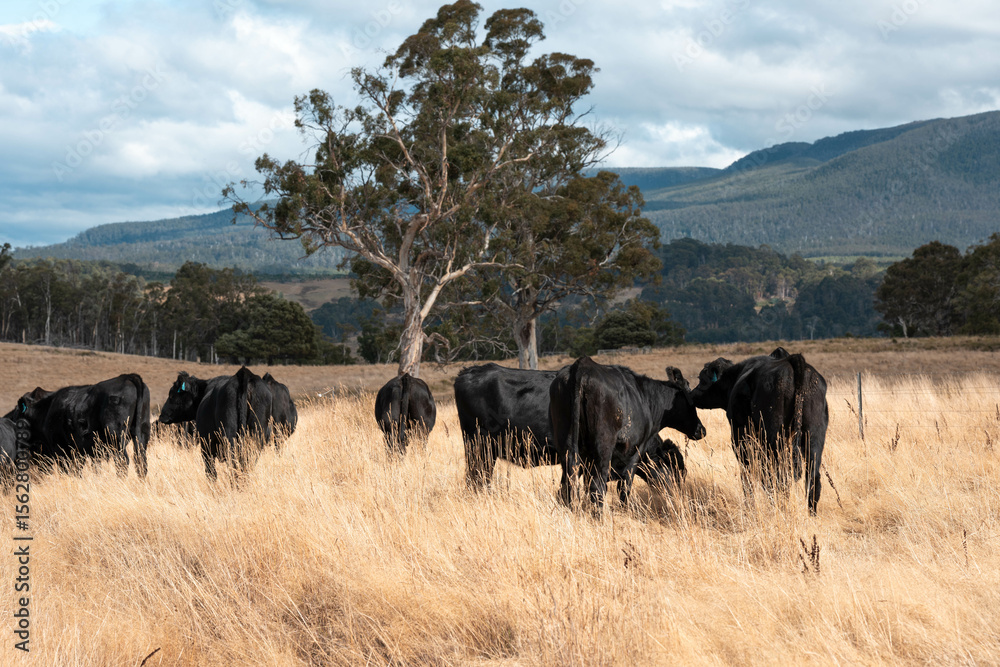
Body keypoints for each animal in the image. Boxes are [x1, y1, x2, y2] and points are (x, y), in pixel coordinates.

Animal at [15, 374, 151, 477]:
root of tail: (127, 376)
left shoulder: (62, 450)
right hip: (142, 432)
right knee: (141, 459)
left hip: (116, 437)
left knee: (123, 460)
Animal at [549, 356, 706, 510]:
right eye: (692, 401)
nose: (701, 430)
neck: (649, 400)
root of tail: (583, 364)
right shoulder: (635, 452)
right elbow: (625, 487)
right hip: (603, 447)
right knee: (597, 487)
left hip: (566, 443)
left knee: (567, 485)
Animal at [689, 347, 828, 514]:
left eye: (702, 379)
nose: (691, 394)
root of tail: (792, 361)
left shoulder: (740, 438)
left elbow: (748, 475)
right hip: (813, 436)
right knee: (813, 479)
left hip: (774, 438)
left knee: (778, 477)